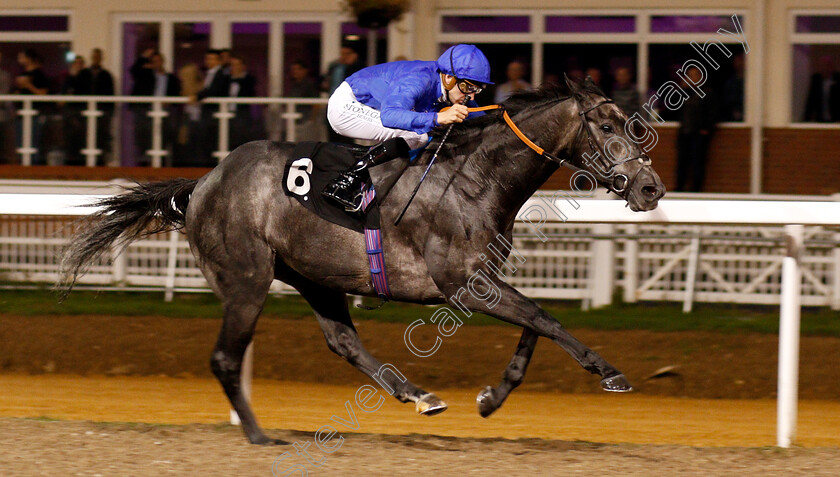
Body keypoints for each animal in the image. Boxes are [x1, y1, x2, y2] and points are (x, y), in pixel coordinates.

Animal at [57, 75, 664, 442]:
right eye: (606, 126)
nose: (651, 188)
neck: (476, 178)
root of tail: (202, 183)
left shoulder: (483, 280)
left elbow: (533, 328)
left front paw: (492, 399)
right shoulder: (464, 283)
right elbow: (545, 319)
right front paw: (609, 372)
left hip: (314, 276)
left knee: (342, 342)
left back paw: (417, 394)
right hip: (247, 280)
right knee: (226, 357)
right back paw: (257, 434)